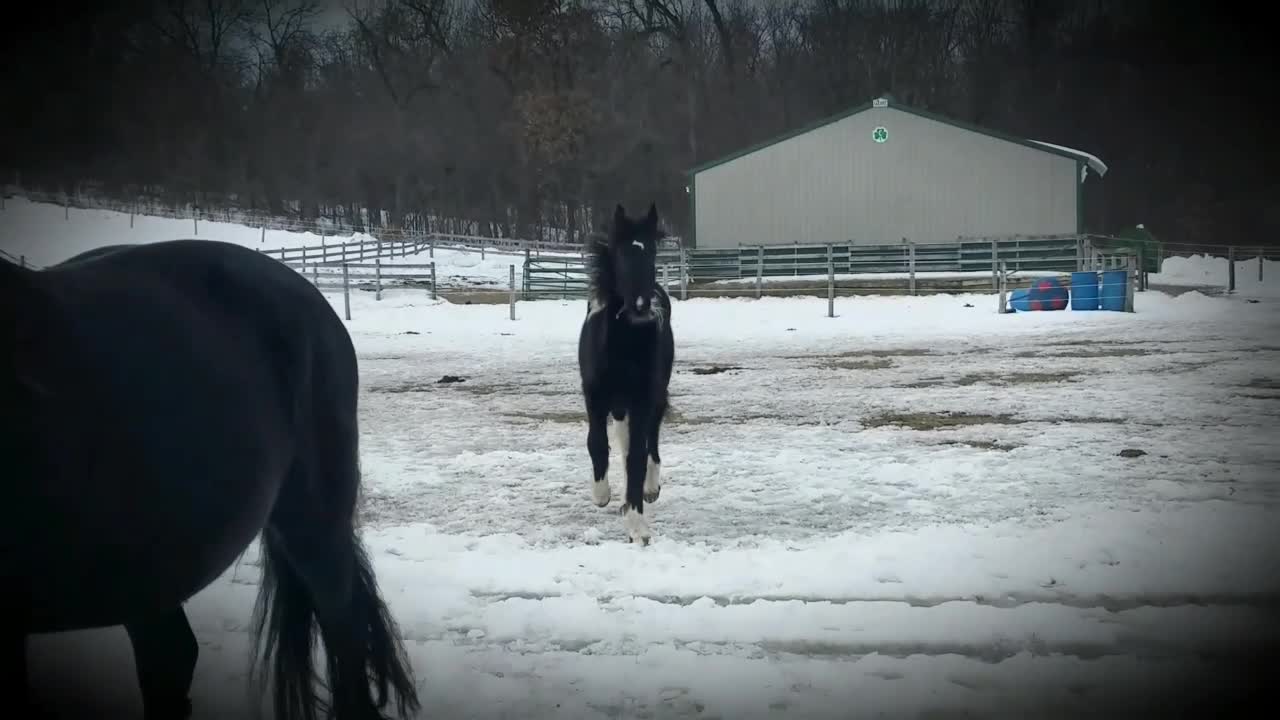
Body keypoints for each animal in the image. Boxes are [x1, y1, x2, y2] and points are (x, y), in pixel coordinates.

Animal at [577, 203, 676, 546]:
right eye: (621, 255)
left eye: (652, 254)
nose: (642, 306)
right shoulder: (594, 396)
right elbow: (596, 442)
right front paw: (601, 495)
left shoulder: (643, 399)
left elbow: (637, 455)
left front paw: (637, 526)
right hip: (619, 405)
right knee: (621, 437)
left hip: (653, 397)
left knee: (650, 442)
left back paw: (650, 489)